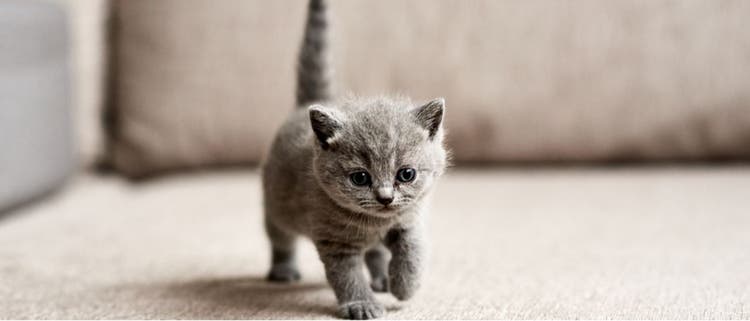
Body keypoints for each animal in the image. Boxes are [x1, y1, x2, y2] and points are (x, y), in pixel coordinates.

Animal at [262, 0, 450, 318]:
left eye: (406, 174)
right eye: (360, 177)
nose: (385, 197)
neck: (375, 223)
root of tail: (306, 106)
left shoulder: (409, 219)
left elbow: (412, 250)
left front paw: (404, 286)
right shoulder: (335, 242)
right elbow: (347, 276)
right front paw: (362, 304)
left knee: (375, 252)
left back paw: (383, 278)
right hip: (277, 205)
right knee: (280, 238)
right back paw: (283, 270)